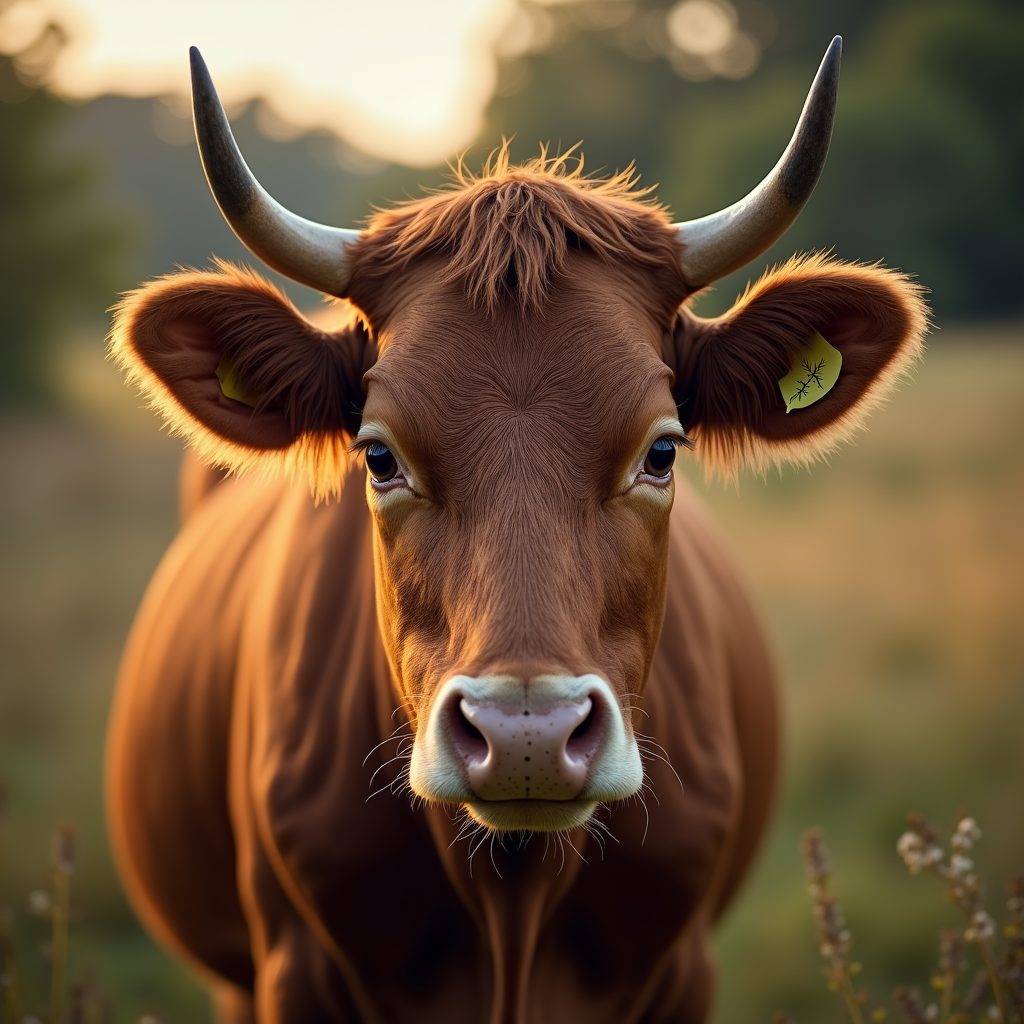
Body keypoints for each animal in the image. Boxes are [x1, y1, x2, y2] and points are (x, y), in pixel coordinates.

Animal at [105, 37, 926, 1024]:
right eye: (377, 456)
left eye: (662, 450)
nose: (525, 735)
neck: (512, 907)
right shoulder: (290, 970)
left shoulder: (684, 970)